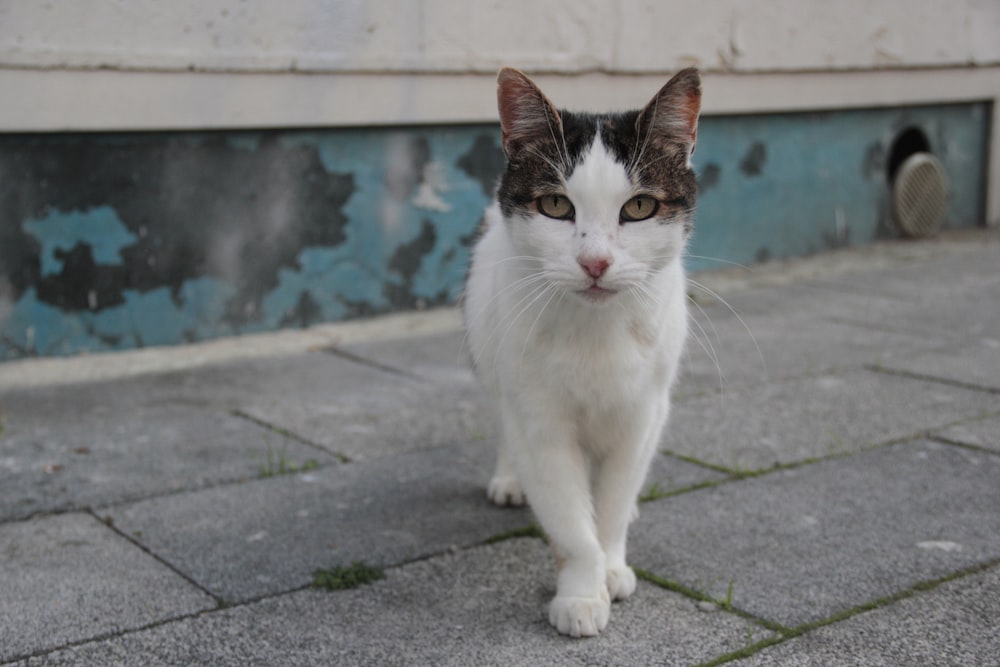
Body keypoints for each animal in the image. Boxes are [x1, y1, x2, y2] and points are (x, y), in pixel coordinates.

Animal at [464, 66, 700, 636]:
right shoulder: (538, 418)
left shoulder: (644, 412)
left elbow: (611, 505)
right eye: (555, 206)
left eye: (639, 207)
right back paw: (509, 479)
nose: (595, 262)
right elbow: (570, 518)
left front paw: (611, 566)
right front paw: (580, 594)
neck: (596, 333)